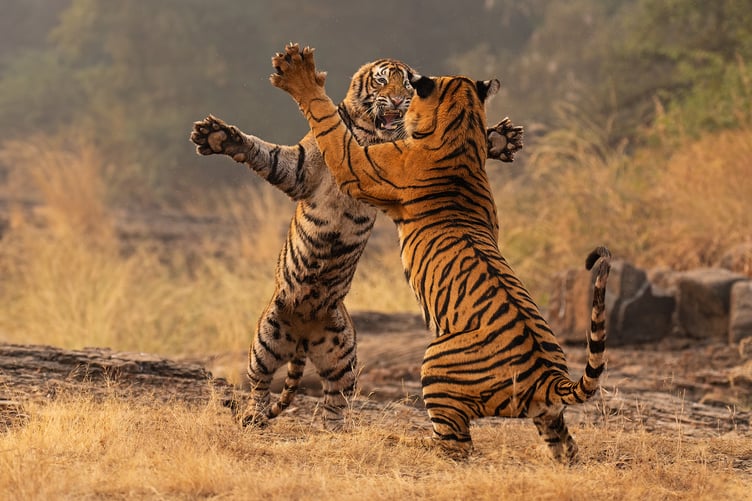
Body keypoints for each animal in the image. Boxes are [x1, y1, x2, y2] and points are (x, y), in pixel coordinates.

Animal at [190, 58, 524, 430]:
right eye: (381, 81)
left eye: (406, 85)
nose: (398, 101)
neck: (370, 132)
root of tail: (303, 334)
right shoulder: (301, 170)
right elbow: (268, 154)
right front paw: (217, 136)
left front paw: (499, 139)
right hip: (267, 336)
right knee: (259, 384)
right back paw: (253, 416)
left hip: (342, 352)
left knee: (335, 397)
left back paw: (335, 430)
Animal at [269, 42, 611, 462]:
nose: (396, 99)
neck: (462, 128)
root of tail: (549, 376)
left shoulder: (361, 166)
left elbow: (330, 125)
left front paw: (299, 75)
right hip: (547, 416)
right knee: (564, 445)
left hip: (435, 365)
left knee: (456, 447)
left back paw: (405, 442)